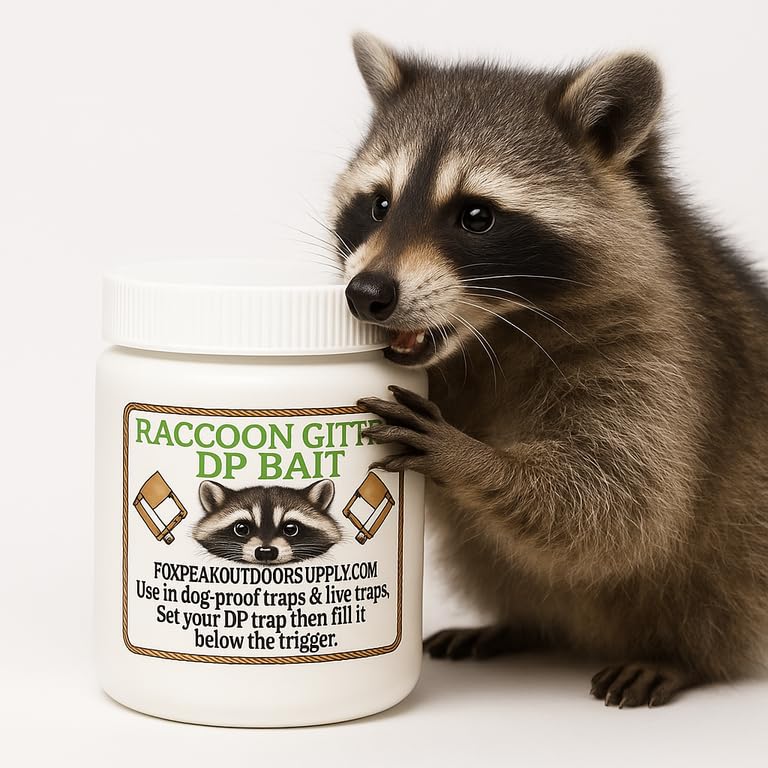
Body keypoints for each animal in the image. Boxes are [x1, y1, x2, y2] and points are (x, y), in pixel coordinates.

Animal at [331, 34, 768, 707]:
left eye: (476, 216)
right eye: (379, 205)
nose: (366, 293)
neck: (490, 335)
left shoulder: (658, 349)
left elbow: (623, 500)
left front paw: (473, 458)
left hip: (740, 566)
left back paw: (676, 656)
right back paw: (521, 624)